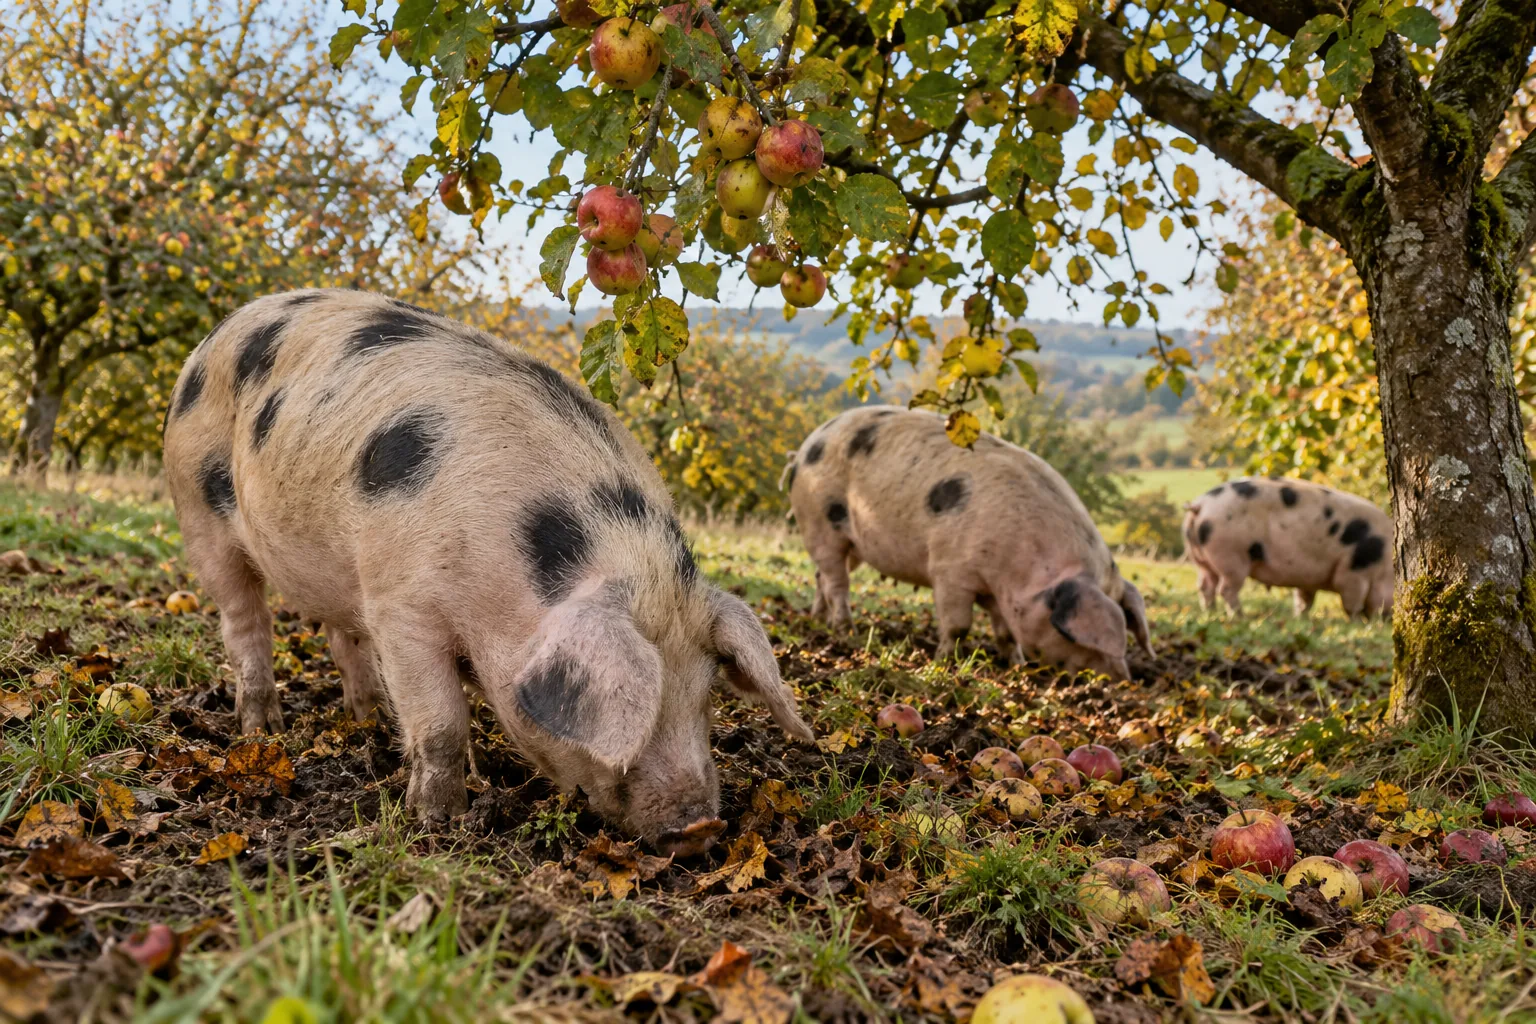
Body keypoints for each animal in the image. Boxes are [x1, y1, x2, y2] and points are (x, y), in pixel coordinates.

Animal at [162, 288, 813, 852]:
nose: (701, 827)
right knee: (244, 621)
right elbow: (440, 723)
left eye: (706, 692)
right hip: (198, 510)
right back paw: (261, 729)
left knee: (342, 637)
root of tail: (216, 333)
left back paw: (366, 717)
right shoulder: (402, 607)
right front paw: (440, 821)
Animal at [783, 406, 1153, 680]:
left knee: (821, 576)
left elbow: (1004, 630)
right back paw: (845, 628)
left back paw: (819, 619)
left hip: (854, 543)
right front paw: (943, 661)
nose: (1122, 679)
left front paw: (1016, 664)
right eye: (1069, 634)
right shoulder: (950, 571)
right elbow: (959, 625)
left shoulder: (998, 591)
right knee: (836, 580)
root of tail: (804, 449)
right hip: (821, 522)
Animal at [1182, 477, 1394, 618]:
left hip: (1202, 559)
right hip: (1231, 556)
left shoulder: (1309, 577)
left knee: (1205, 586)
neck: (1382, 563)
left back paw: (1210, 613)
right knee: (1225, 589)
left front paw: (1300, 618)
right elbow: (1352, 603)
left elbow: (1304, 599)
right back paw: (1240, 617)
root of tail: (1200, 505)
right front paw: (1357, 621)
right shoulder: (1353, 572)